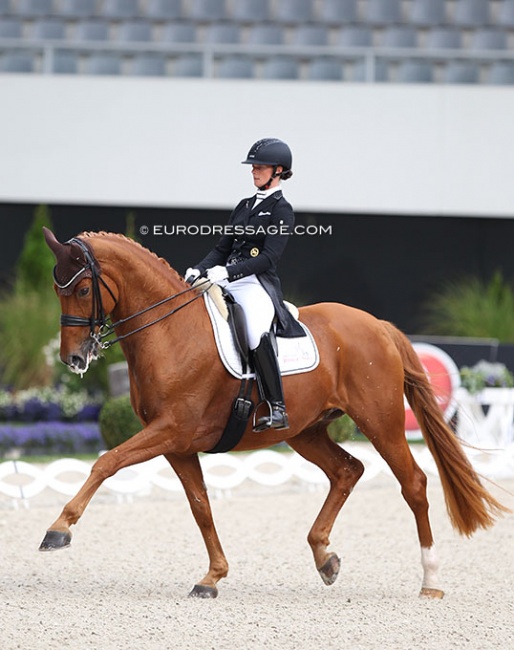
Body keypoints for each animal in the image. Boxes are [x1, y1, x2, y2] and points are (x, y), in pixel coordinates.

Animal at [40, 228, 504, 596]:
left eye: (83, 290)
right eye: (56, 290)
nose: (73, 359)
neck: (171, 333)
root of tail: (377, 325)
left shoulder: (170, 430)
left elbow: (106, 462)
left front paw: (58, 529)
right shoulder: (177, 444)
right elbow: (200, 506)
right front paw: (212, 577)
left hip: (381, 422)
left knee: (414, 484)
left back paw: (430, 580)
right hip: (305, 431)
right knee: (347, 470)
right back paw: (324, 558)